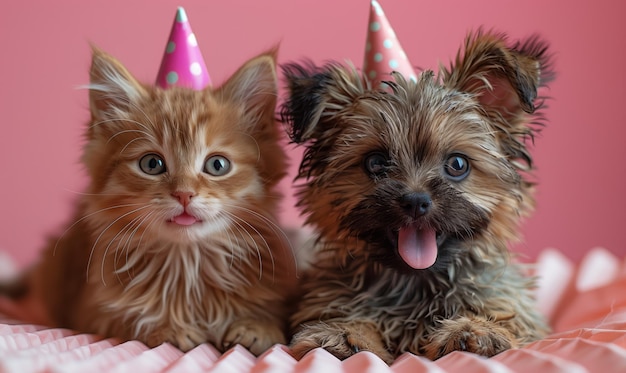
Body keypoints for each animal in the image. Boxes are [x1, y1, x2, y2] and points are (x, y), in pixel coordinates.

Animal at [3, 46, 294, 354]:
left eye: (217, 165)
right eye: (152, 164)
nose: (184, 194)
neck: (186, 266)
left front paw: (258, 326)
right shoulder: (91, 311)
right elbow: (130, 319)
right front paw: (170, 328)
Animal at [280, 29, 552, 364]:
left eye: (458, 164)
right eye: (376, 163)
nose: (415, 201)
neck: (416, 283)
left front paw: (477, 329)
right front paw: (346, 332)